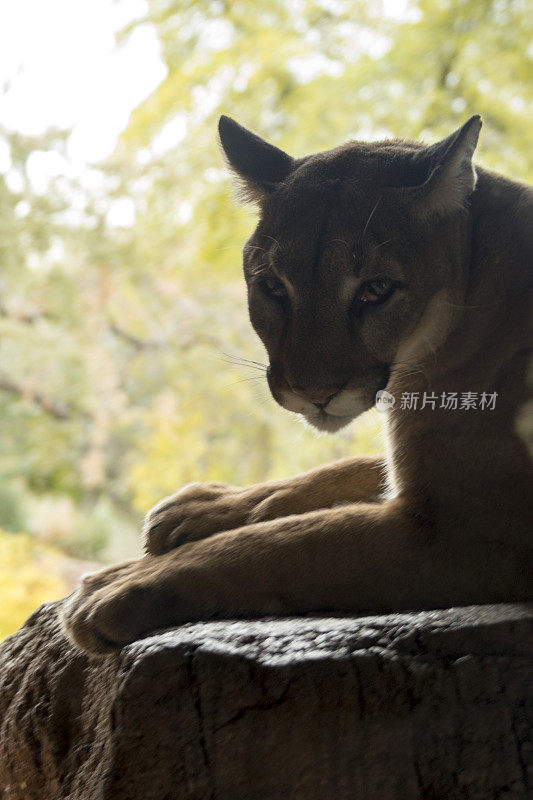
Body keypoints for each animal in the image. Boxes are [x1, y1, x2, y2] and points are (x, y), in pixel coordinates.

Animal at [61, 115, 528, 652]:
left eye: (376, 289)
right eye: (273, 287)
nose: (314, 394)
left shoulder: (465, 528)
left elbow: (287, 543)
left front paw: (116, 584)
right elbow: (345, 470)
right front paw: (204, 509)